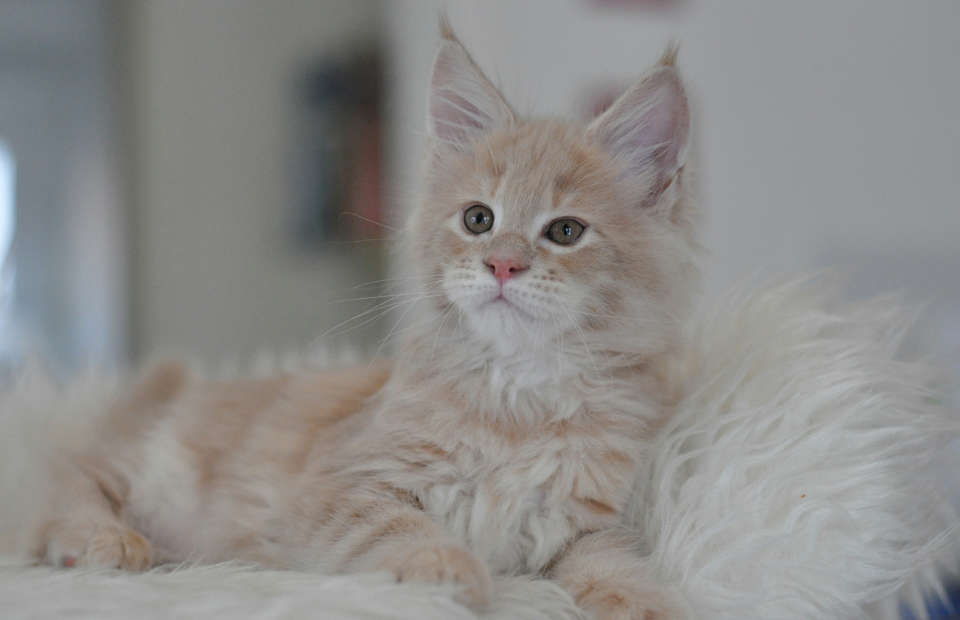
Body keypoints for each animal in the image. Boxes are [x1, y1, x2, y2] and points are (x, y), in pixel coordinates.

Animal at [31, 21, 696, 620]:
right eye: (479, 219)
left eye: (565, 231)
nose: (503, 264)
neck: (518, 399)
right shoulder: (341, 485)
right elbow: (398, 529)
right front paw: (445, 569)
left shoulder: (581, 522)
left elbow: (611, 561)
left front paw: (641, 602)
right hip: (149, 463)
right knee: (63, 479)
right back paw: (105, 539)